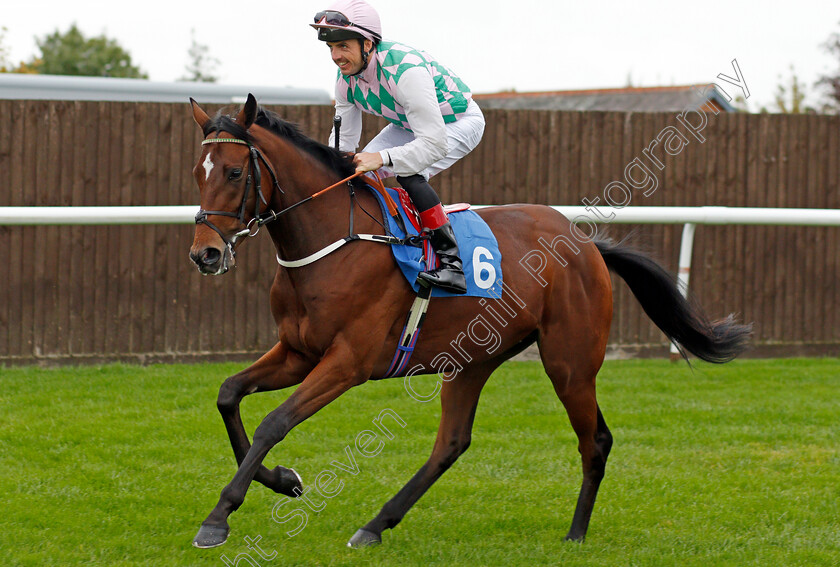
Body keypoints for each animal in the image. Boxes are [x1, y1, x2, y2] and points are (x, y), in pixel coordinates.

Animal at [187, 95, 752, 548]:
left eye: (234, 173)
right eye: (198, 172)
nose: (205, 255)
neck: (334, 243)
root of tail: (587, 243)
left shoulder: (348, 362)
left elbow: (274, 422)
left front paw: (219, 516)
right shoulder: (298, 351)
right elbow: (228, 394)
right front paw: (282, 480)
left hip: (569, 363)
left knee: (595, 440)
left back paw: (575, 533)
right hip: (473, 358)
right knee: (452, 443)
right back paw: (375, 524)